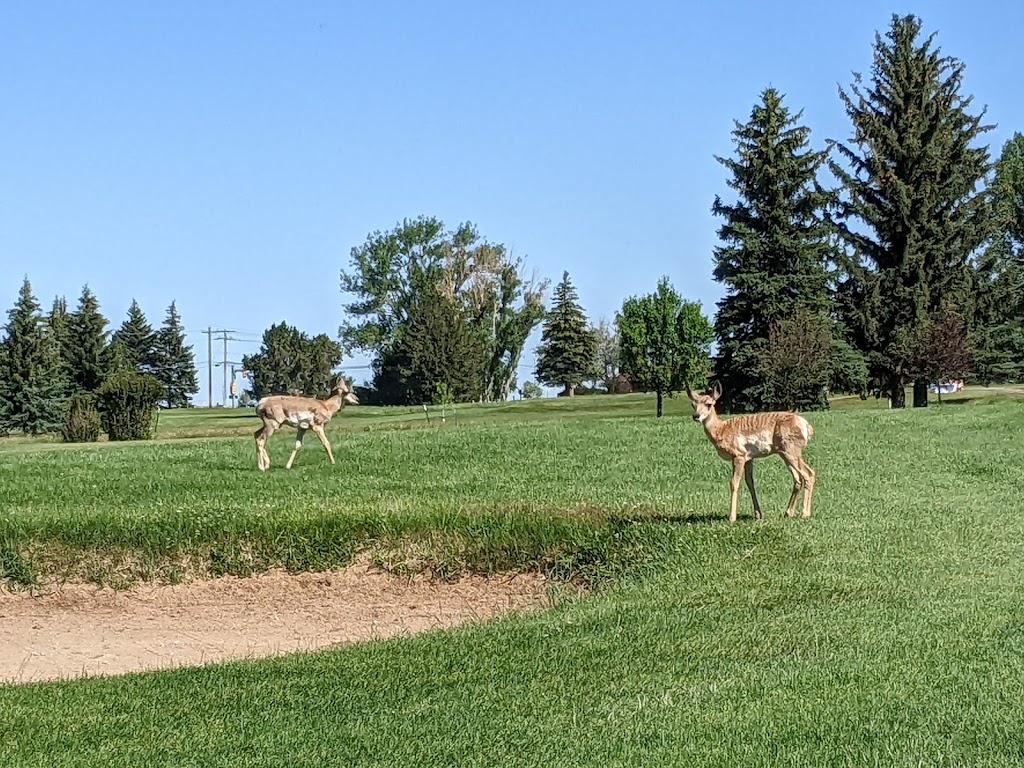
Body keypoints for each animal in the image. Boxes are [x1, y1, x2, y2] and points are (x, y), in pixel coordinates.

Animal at [684, 382, 819, 528]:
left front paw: (732, 518)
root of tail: (806, 425)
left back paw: (805, 514)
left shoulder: (738, 456)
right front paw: (758, 515)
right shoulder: (749, 459)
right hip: (785, 454)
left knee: (809, 474)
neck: (721, 429)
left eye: (709, 404)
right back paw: (788, 513)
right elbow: (750, 482)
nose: (696, 416)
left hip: (791, 453)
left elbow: (734, 482)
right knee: (798, 479)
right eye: (693, 404)